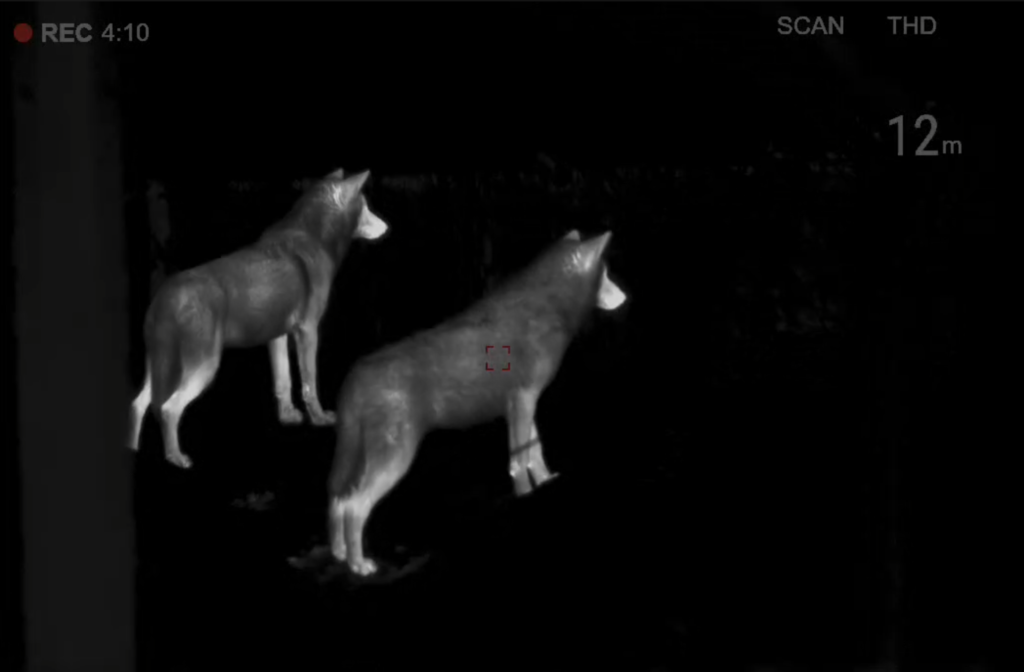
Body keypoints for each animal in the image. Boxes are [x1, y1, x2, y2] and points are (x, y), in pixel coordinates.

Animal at [127, 168, 388, 469]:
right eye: (366, 207)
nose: (386, 227)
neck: (314, 237)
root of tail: (165, 296)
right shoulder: (308, 331)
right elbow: (309, 383)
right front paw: (320, 419)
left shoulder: (277, 335)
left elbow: (283, 382)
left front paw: (288, 417)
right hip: (202, 367)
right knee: (168, 408)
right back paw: (177, 459)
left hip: (159, 366)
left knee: (138, 404)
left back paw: (133, 450)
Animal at [326, 229, 626, 575]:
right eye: (606, 274)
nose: (624, 298)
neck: (547, 310)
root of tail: (355, 375)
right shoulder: (522, 401)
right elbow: (518, 463)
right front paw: (526, 497)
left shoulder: (524, 404)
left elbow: (535, 453)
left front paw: (546, 483)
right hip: (393, 462)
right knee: (354, 506)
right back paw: (359, 566)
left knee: (337, 501)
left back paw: (339, 555)